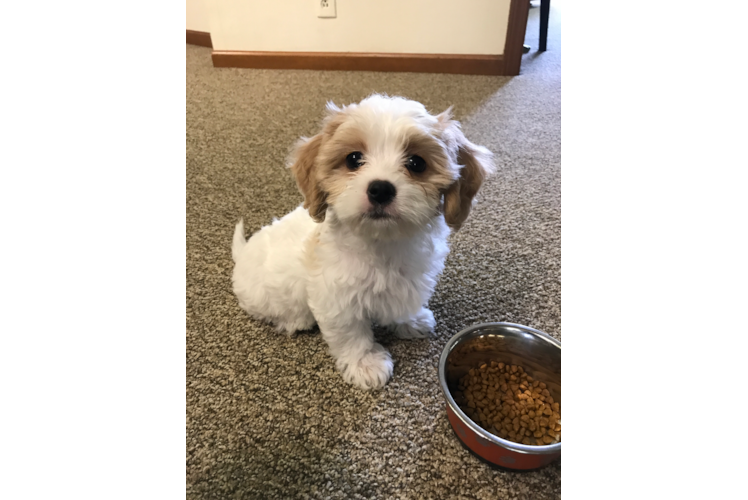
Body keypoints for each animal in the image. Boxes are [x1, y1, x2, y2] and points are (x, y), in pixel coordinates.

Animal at [231, 94, 494, 390]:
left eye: (416, 163)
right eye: (354, 159)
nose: (380, 189)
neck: (381, 242)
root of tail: (243, 253)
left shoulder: (410, 280)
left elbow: (403, 304)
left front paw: (412, 320)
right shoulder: (337, 299)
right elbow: (351, 335)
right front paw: (365, 364)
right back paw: (296, 320)